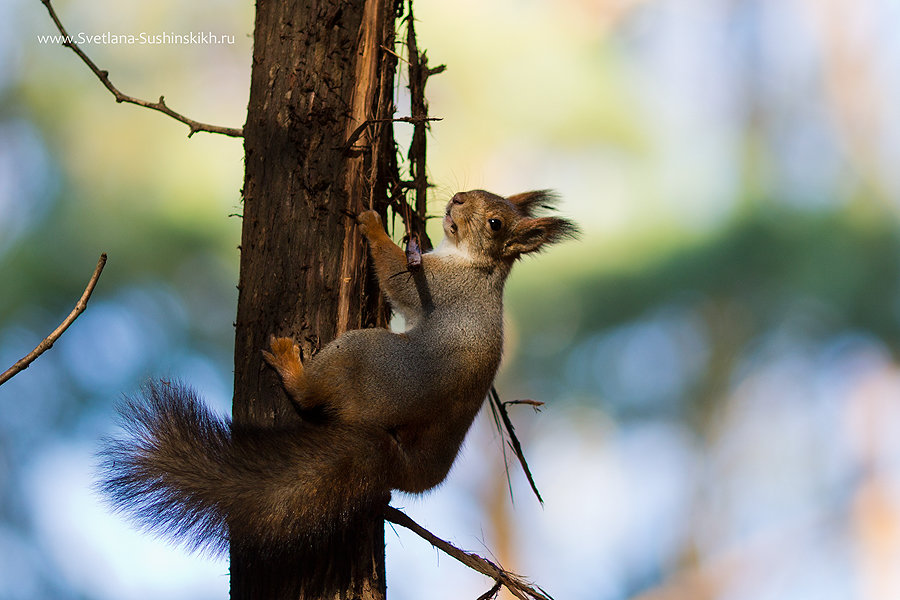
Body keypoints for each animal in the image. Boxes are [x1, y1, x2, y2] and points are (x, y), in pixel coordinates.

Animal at [96, 189, 576, 580]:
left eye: (495, 223)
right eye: (476, 192)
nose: (456, 199)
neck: (476, 264)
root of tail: (403, 465)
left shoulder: (436, 286)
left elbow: (395, 273)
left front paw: (372, 222)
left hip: (363, 356)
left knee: (313, 391)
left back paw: (290, 365)